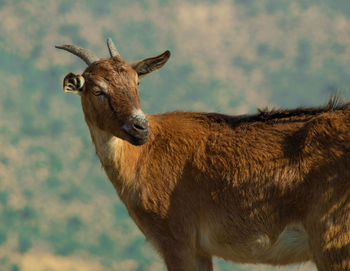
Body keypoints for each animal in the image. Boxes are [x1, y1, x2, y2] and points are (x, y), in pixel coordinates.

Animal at [56, 38, 350, 271]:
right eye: (97, 89)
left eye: (136, 82)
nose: (140, 128)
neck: (143, 157)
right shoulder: (200, 249)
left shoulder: (177, 239)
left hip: (333, 241)